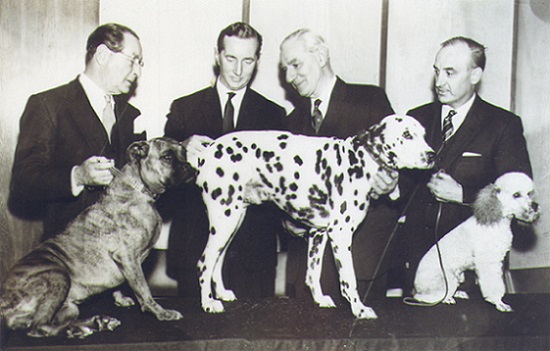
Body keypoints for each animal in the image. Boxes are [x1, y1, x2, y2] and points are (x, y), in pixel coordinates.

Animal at [1, 137, 195, 338]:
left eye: (184, 152)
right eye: (167, 157)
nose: (189, 166)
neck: (138, 189)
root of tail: (4, 304)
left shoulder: (125, 262)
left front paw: (120, 298)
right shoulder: (127, 257)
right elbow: (143, 288)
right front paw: (160, 312)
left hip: (69, 307)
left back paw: (97, 322)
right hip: (58, 276)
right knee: (39, 327)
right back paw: (88, 327)